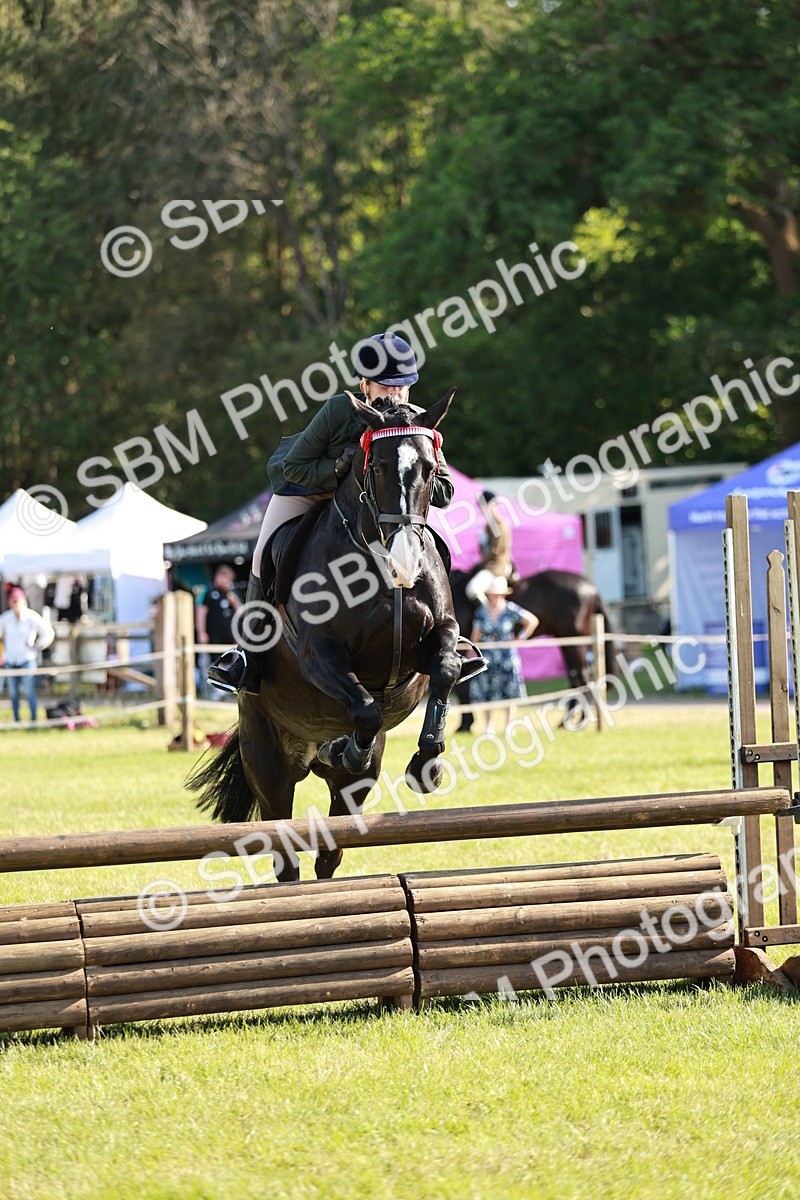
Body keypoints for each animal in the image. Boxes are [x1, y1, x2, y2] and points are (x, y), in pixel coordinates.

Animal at [189, 390, 461, 882]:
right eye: (377, 468)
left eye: (432, 469)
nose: (406, 563)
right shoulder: (319, 654)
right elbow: (366, 707)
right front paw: (351, 747)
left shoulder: (441, 633)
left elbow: (446, 668)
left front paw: (427, 764)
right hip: (269, 765)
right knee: (284, 853)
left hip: (356, 785)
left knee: (329, 852)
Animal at [449, 567, 619, 730]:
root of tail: (590, 587)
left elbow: (462, 686)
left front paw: (465, 725)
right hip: (566, 640)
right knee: (576, 676)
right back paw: (568, 721)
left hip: (573, 641)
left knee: (581, 677)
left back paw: (575, 722)